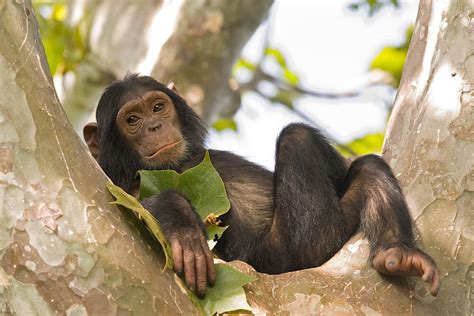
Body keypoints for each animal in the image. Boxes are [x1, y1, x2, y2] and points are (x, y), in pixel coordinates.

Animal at [82, 73, 440, 296]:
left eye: (158, 107)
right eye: (132, 120)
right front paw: (183, 228)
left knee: (367, 169)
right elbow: (135, 205)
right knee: (298, 140)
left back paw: (399, 252)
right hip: (296, 253)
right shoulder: (122, 185)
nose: (154, 126)